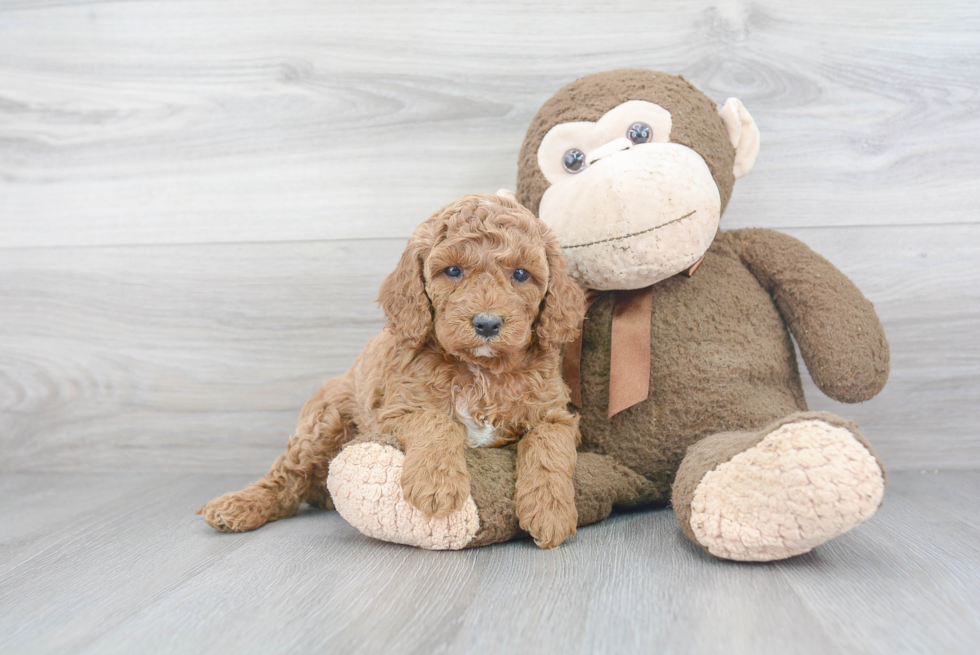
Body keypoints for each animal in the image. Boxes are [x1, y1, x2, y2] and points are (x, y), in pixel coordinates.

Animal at [198, 193, 580, 548]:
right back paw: (239, 505)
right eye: (453, 271)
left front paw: (551, 512)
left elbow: (548, 445)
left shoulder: (555, 413)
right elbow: (436, 420)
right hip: (326, 420)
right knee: (287, 475)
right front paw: (436, 484)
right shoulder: (393, 411)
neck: (480, 370)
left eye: (521, 274)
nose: (487, 324)